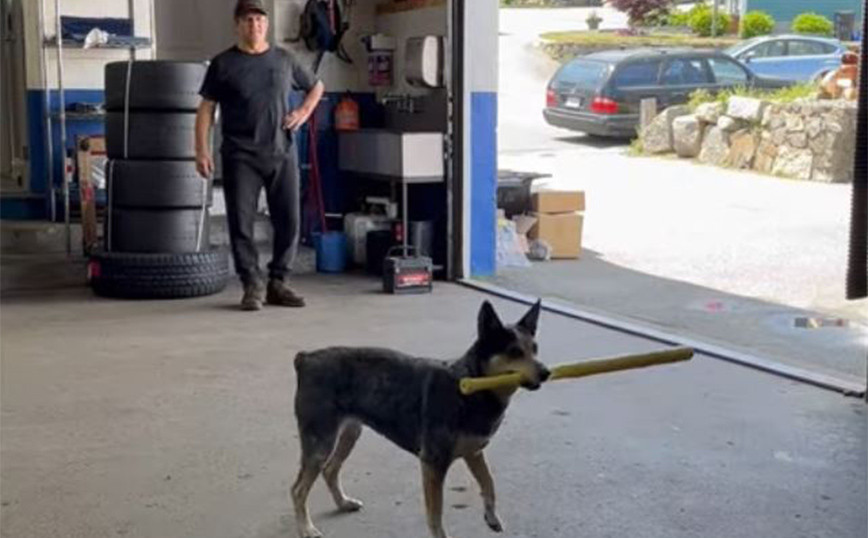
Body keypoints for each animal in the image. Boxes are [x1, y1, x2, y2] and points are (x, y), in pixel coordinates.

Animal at [292, 298, 548, 536]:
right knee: (298, 490)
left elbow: (489, 483)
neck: (470, 386)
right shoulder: (433, 463)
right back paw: (306, 528)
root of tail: (306, 359)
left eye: (535, 348)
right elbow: (436, 513)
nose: (546, 372)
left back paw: (343, 503)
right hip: (321, 442)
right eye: (514, 351)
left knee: (330, 470)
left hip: (349, 433)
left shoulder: (474, 452)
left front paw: (492, 517)